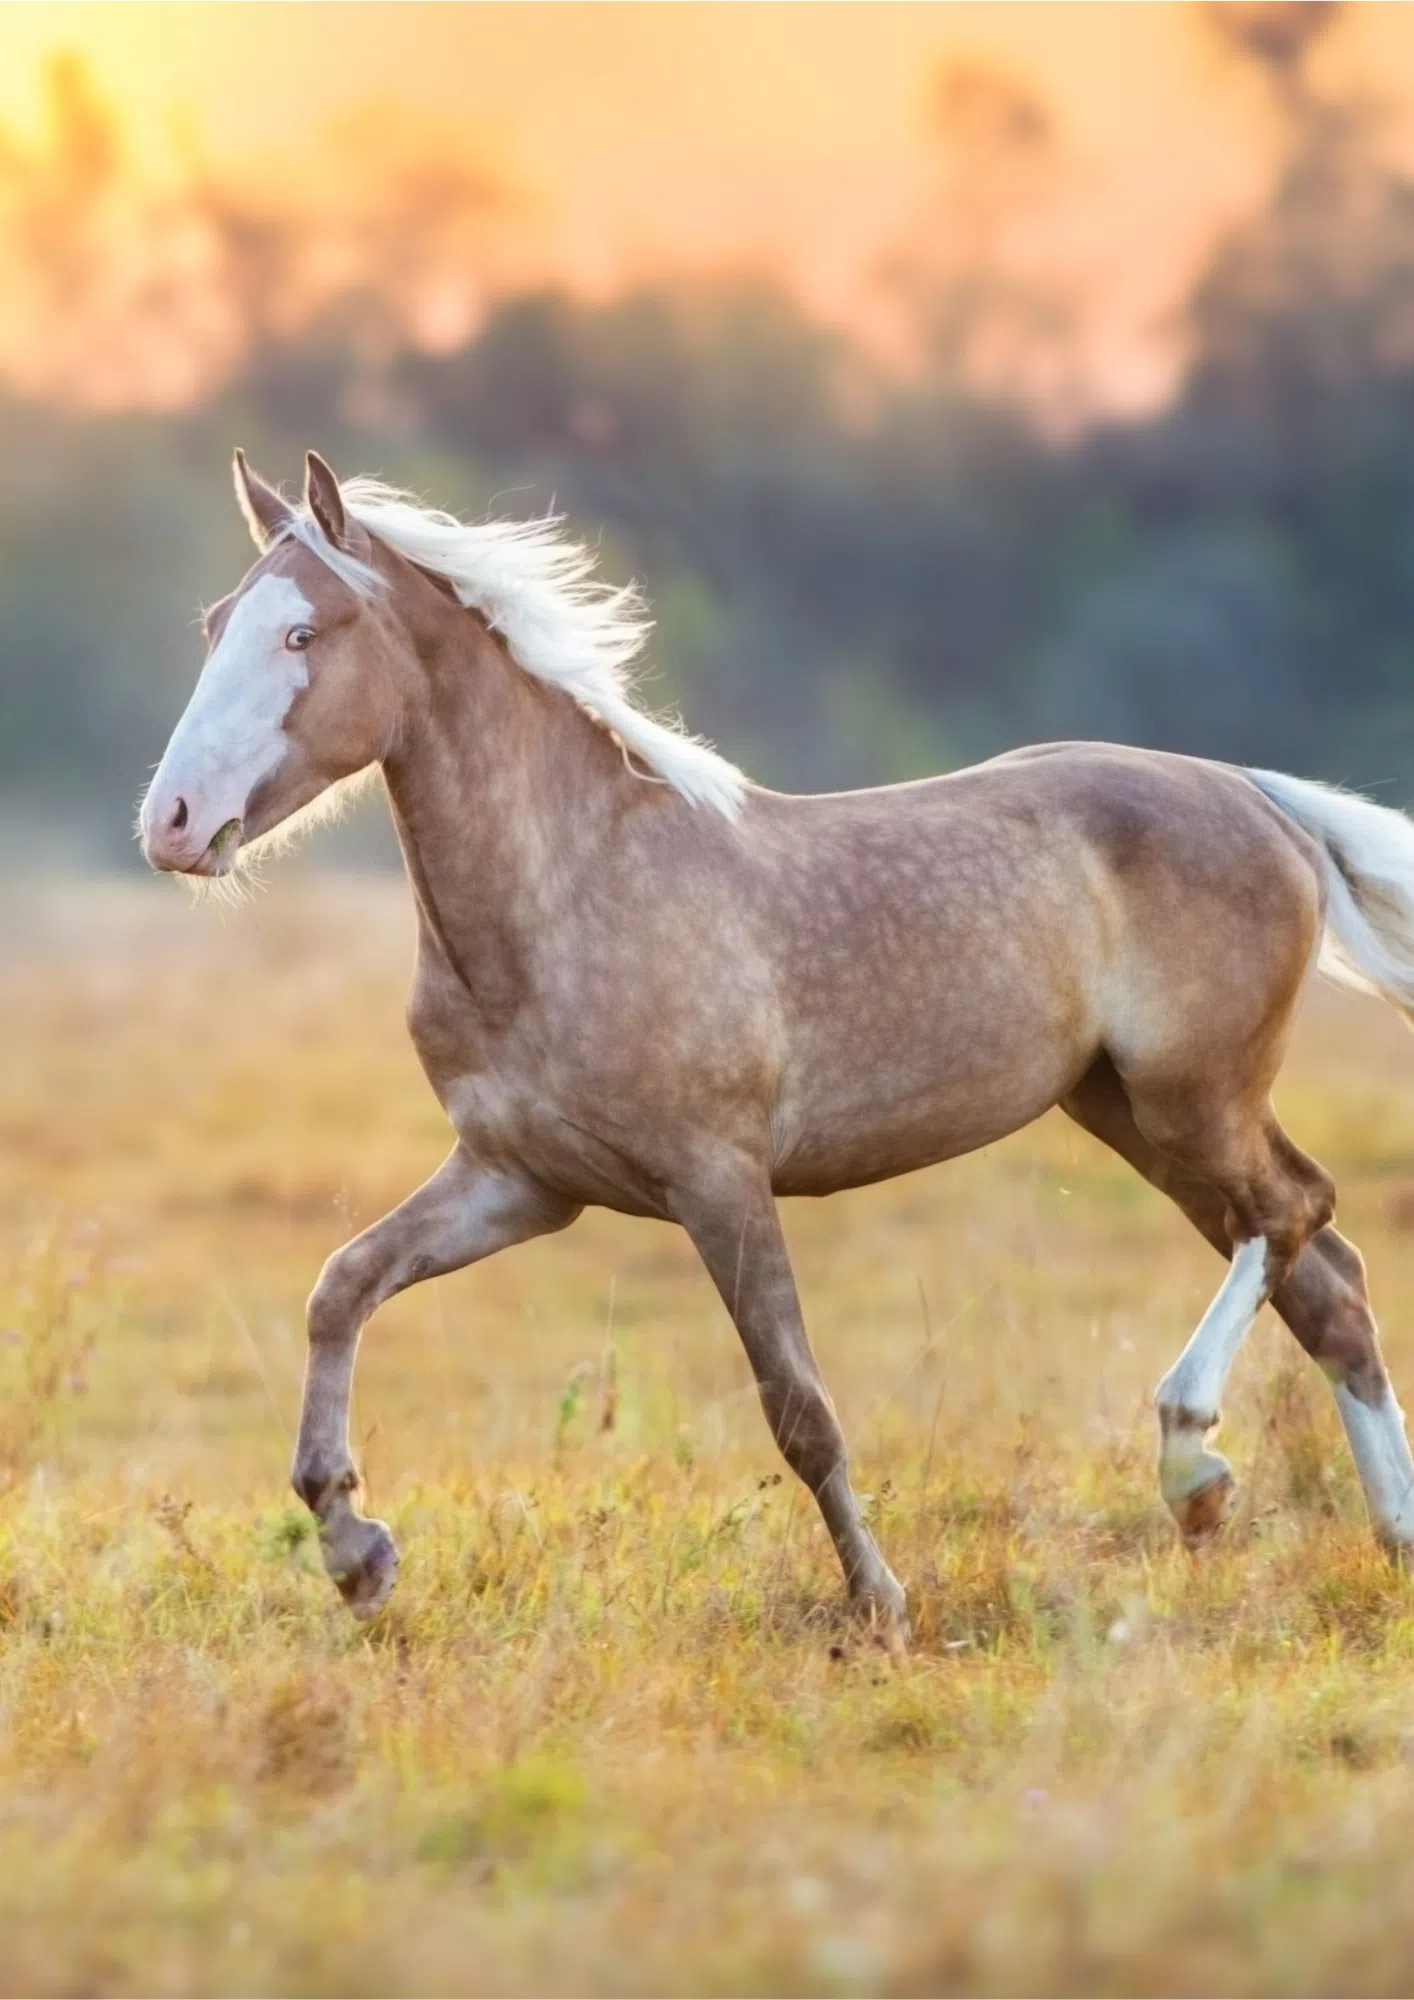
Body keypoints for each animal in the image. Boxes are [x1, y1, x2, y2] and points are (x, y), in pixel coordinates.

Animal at [140, 448, 1414, 1638]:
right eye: (210, 625)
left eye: (304, 630)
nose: (173, 823)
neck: (569, 891)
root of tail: (1257, 796)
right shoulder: (520, 1181)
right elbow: (340, 1286)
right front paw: (355, 1549)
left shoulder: (718, 1179)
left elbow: (796, 1404)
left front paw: (880, 1604)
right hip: (1130, 1112)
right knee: (1328, 1282)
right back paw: (1389, 1540)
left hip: (1191, 1098)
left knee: (1294, 1212)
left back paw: (1192, 1462)